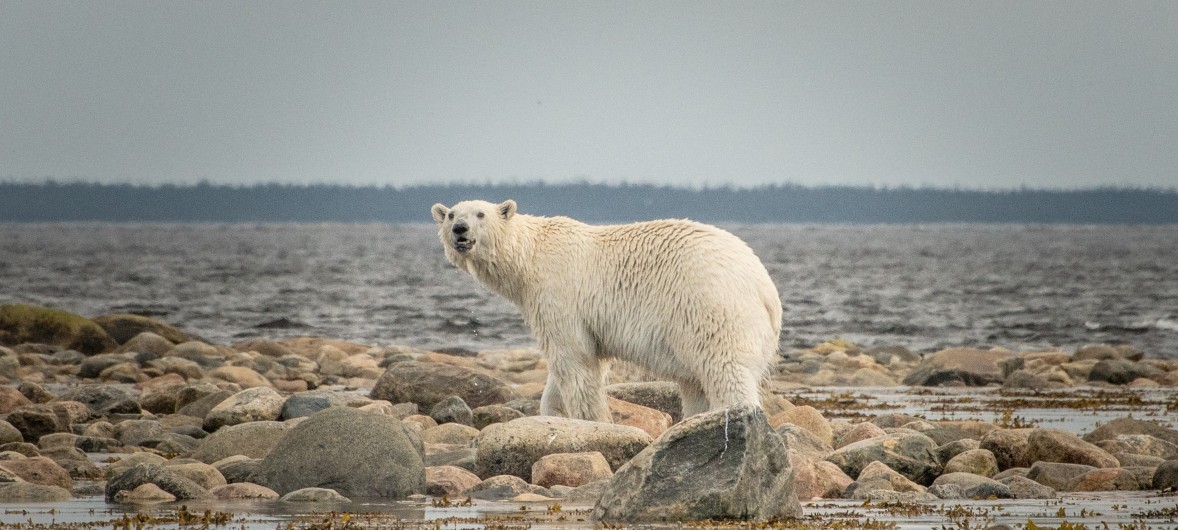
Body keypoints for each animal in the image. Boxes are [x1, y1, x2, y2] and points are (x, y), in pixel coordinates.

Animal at [431, 199, 782, 421]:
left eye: (480, 214)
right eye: (451, 215)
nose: (460, 229)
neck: (530, 258)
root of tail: (765, 288)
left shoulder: (558, 295)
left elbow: (574, 361)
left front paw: (591, 420)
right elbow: (565, 372)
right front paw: (554, 414)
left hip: (710, 305)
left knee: (723, 368)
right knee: (695, 381)